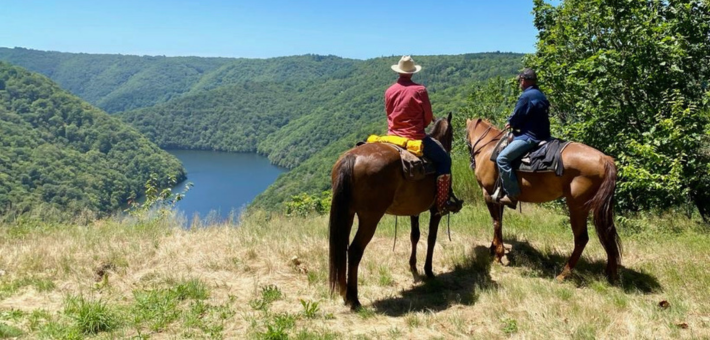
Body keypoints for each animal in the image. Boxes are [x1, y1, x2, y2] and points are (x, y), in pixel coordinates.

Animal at [330, 113, 456, 308]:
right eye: (452, 133)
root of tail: (351, 159)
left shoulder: (414, 210)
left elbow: (415, 236)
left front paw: (413, 267)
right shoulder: (435, 210)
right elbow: (431, 238)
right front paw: (428, 271)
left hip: (348, 214)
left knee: (343, 249)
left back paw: (345, 295)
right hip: (370, 218)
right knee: (355, 250)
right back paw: (354, 299)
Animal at [468, 118, 624, 282]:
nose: (471, 162)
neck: (488, 148)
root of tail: (606, 159)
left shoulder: (488, 194)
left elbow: (496, 222)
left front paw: (498, 254)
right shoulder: (498, 198)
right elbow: (500, 222)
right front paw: (494, 248)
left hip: (577, 207)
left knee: (581, 239)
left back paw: (563, 274)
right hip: (600, 209)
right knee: (607, 234)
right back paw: (611, 273)